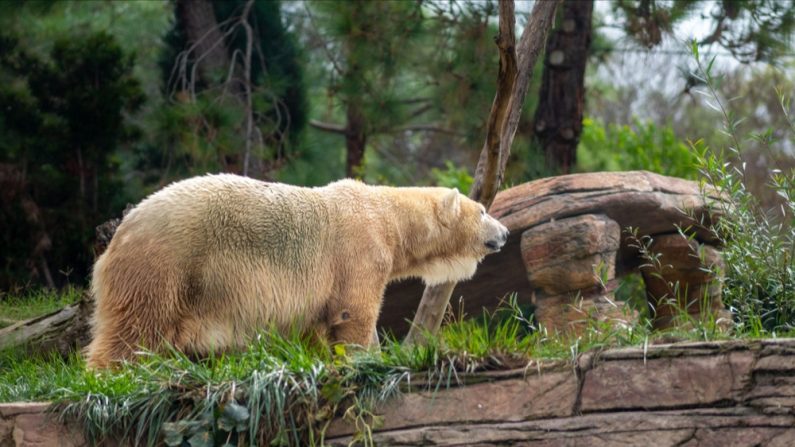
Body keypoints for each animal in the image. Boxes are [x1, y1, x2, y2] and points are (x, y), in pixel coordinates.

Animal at [84, 173, 506, 370]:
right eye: (484, 210)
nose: (504, 233)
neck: (387, 216)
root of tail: (119, 235)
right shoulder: (360, 250)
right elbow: (354, 311)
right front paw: (365, 357)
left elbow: (317, 327)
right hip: (166, 263)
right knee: (138, 327)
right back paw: (114, 374)